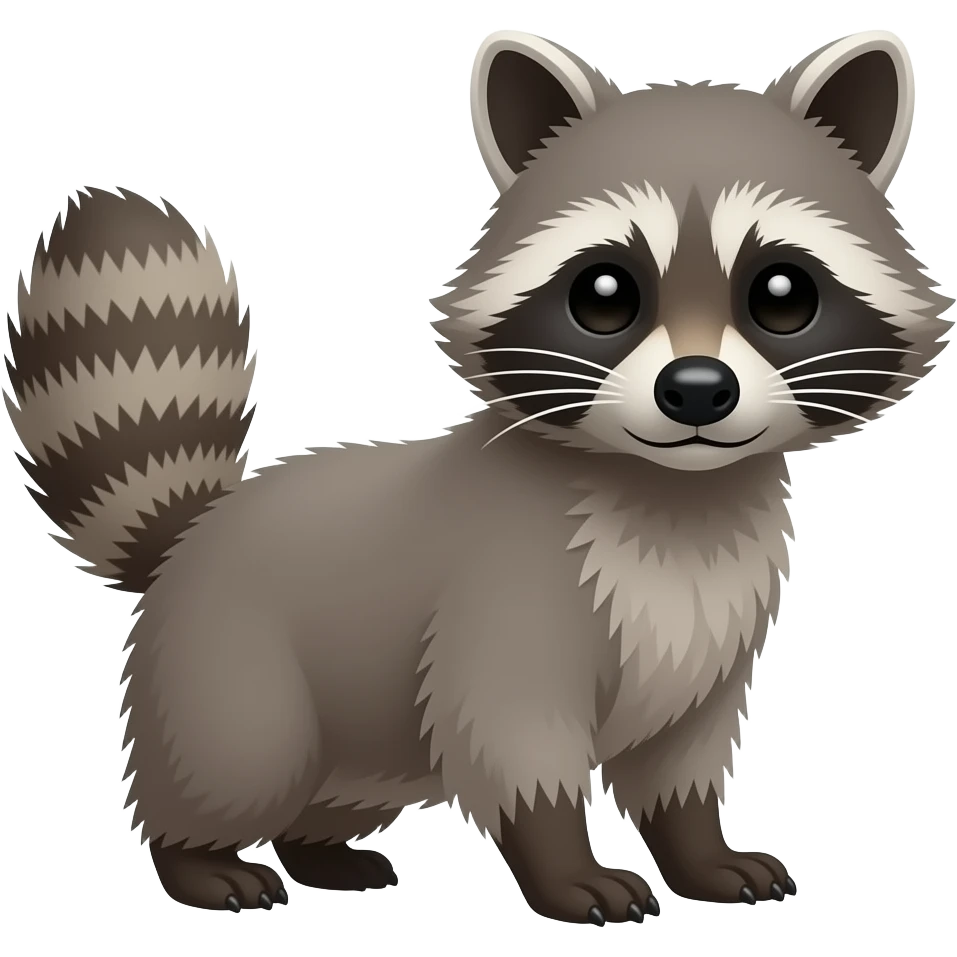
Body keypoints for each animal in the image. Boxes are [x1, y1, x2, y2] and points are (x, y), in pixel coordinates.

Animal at [4, 29, 952, 924]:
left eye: (782, 293)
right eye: (604, 293)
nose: (693, 390)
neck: (675, 487)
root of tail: (192, 534)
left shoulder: (716, 629)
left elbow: (680, 758)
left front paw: (698, 850)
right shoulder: (505, 590)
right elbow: (515, 741)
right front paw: (565, 867)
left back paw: (320, 851)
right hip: (228, 661)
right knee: (238, 758)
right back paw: (196, 859)